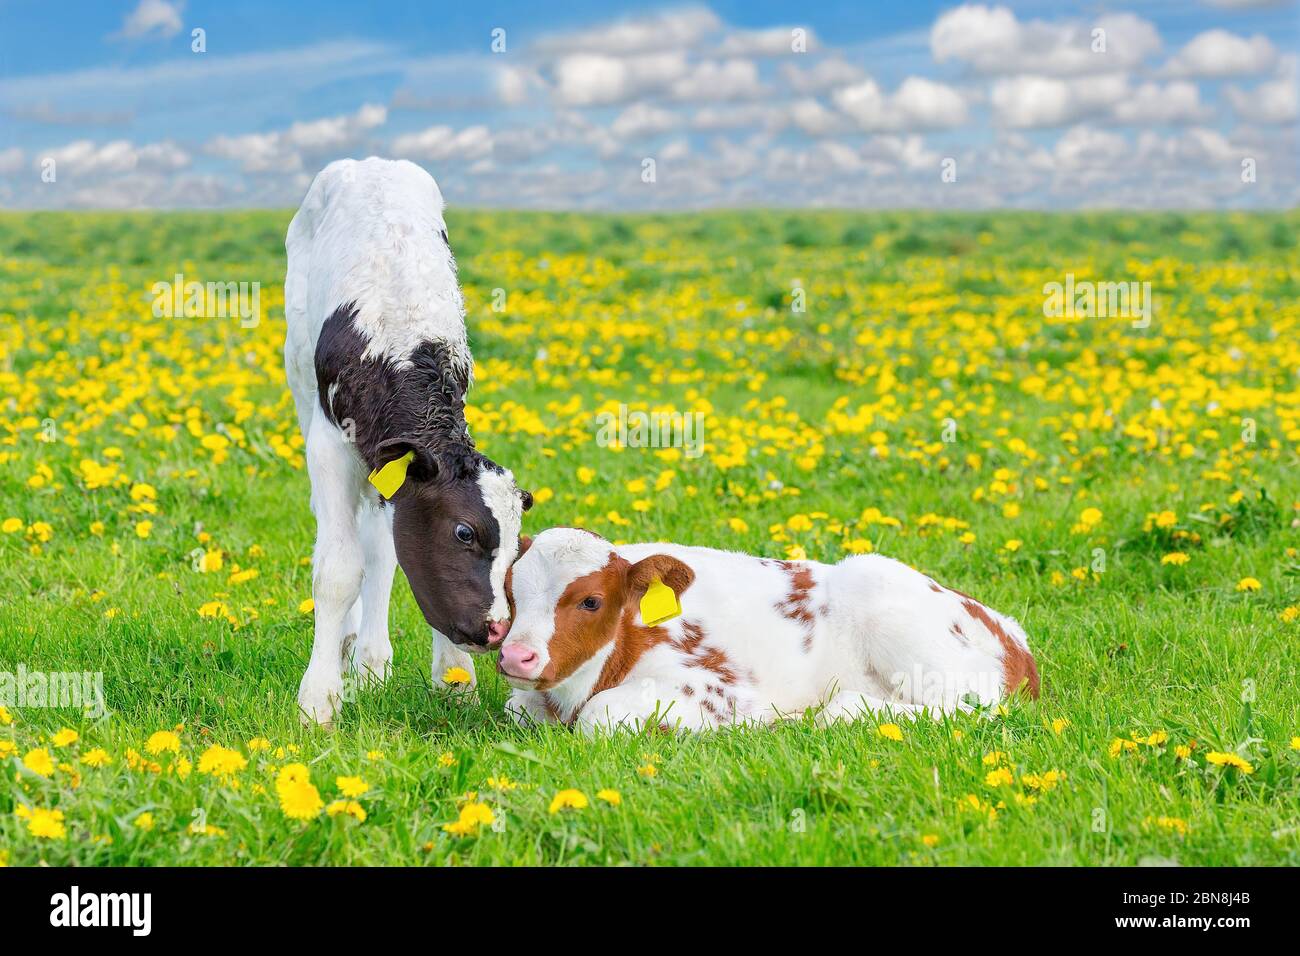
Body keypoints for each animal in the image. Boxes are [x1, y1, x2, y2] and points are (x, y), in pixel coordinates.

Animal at [284, 158, 527, 723]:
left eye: (516, 546)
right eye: (464, 532)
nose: (498, 629)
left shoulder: (399, 465)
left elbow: (387, 553)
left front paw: (455, 677)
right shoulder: (331, 445)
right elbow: (337, 568)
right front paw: (319, 698)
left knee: (378, 546)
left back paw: (371, 662)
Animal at [496, 530, 1034, 733]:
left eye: (591, 600)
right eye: (510, 589)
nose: (517, 657)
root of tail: (1012, 635)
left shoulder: (719, 687)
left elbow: (600, 715)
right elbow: (516, 708)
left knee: (969, 709)